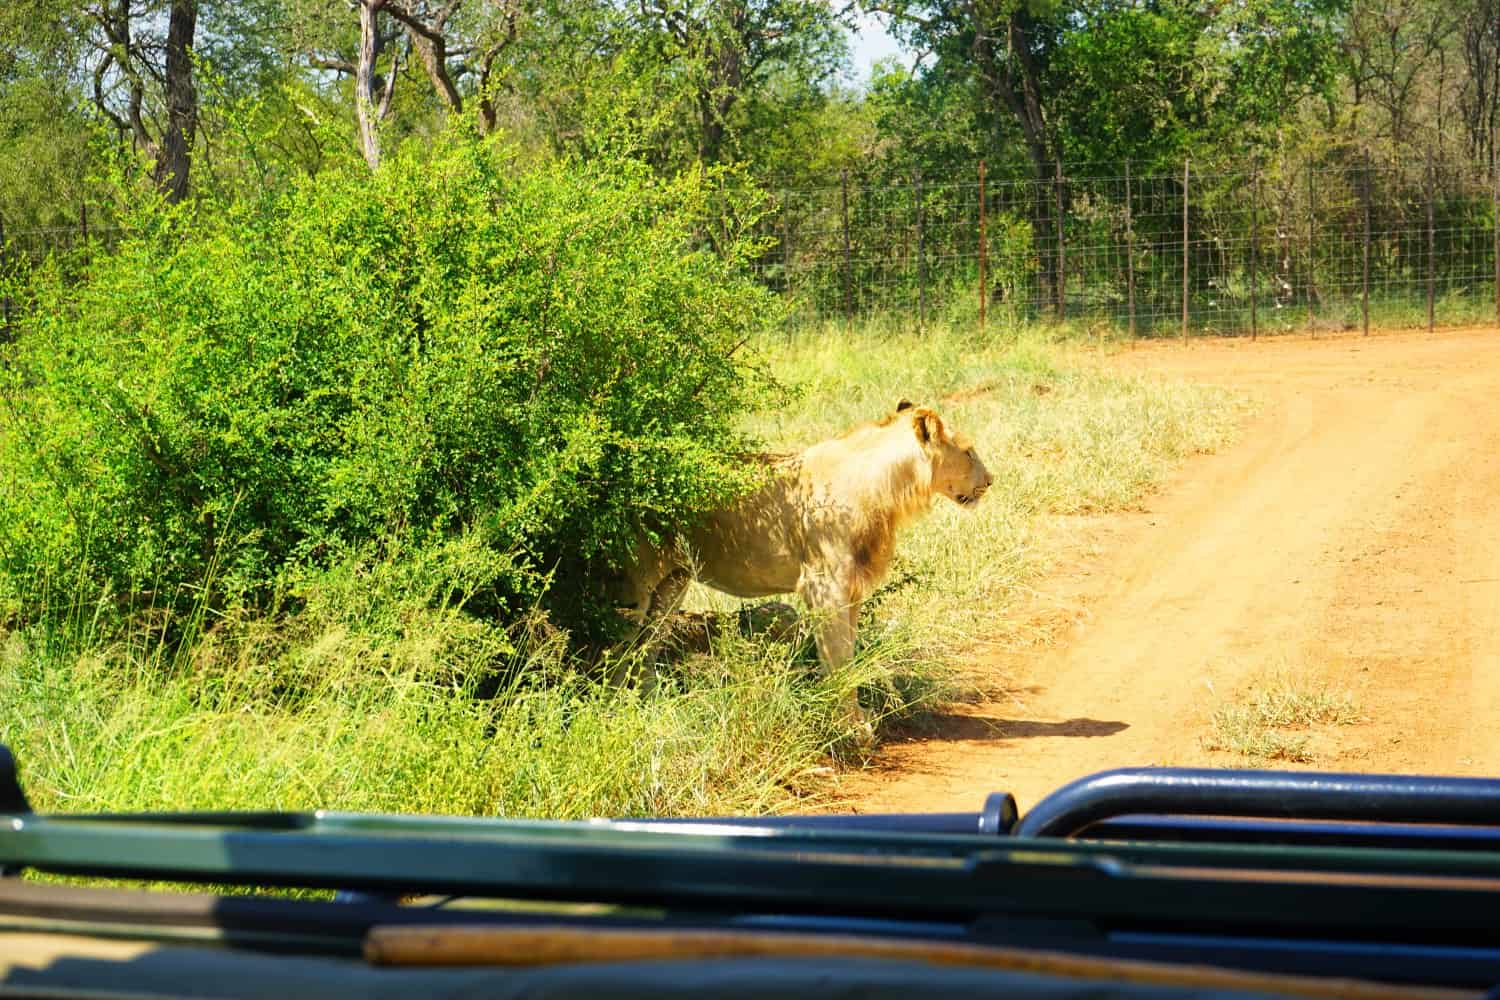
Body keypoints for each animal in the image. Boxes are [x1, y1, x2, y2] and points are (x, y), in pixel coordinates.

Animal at [615, 401, 990, 728]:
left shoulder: (851, 589)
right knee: (619, 647)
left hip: (673, 581)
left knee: (647, 647)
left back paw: (653, 707)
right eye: (969, 452)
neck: (885, 489)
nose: (990, 481)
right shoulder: (825, 586)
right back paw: (617, 710)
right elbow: (838, 655)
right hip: (634, 581)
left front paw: (850, 716)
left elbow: (847, 651)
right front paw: (850, 726)